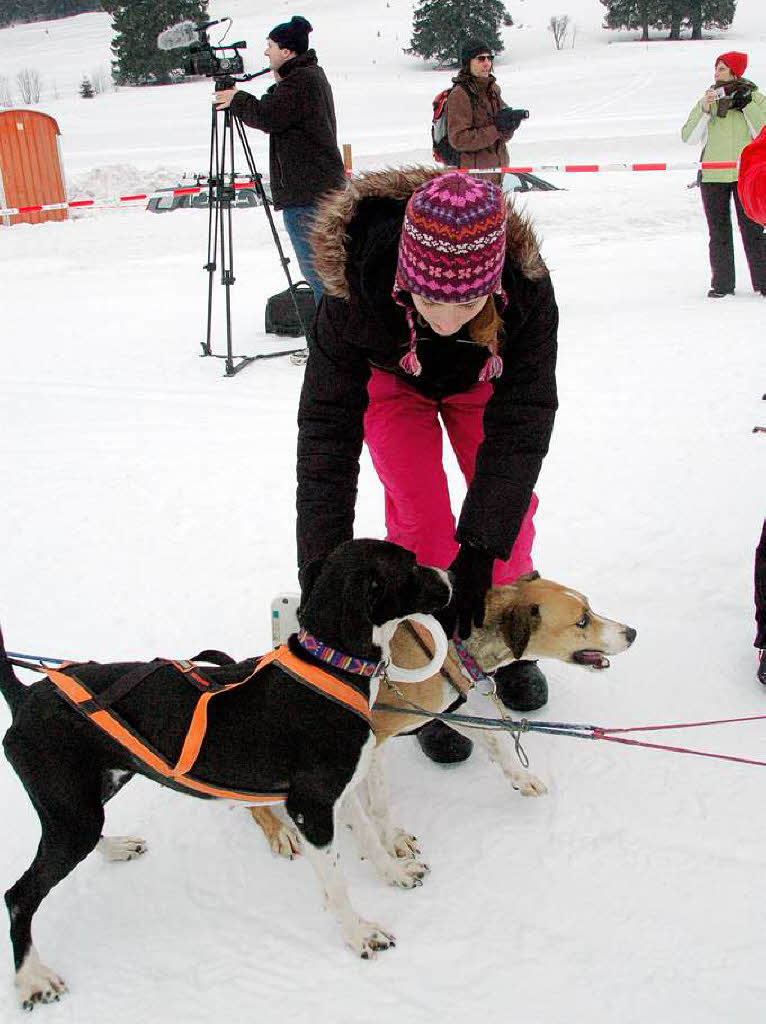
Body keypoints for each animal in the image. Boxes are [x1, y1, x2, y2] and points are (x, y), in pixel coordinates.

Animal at [0, 544, 452, 1007]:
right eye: (411, 565)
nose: (450, 576)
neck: (330, 667)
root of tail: (25, 695)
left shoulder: (336, 794)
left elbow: (369, 839)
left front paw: (394, 874)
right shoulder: (310, 808)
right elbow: (337, 884)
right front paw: (359, 933)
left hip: (92, 795)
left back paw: (115, 849)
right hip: (73, 813)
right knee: (18, 896)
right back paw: (32, 977)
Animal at [250, 569, 634, 888]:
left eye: (589, 607)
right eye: (581, 621)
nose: (631, 632)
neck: (453, 646)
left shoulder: (448, 708)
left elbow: (494, 743)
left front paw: (520, 777)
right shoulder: (377, 738)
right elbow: (379, 804)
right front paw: (391, 840)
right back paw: (279, 831)